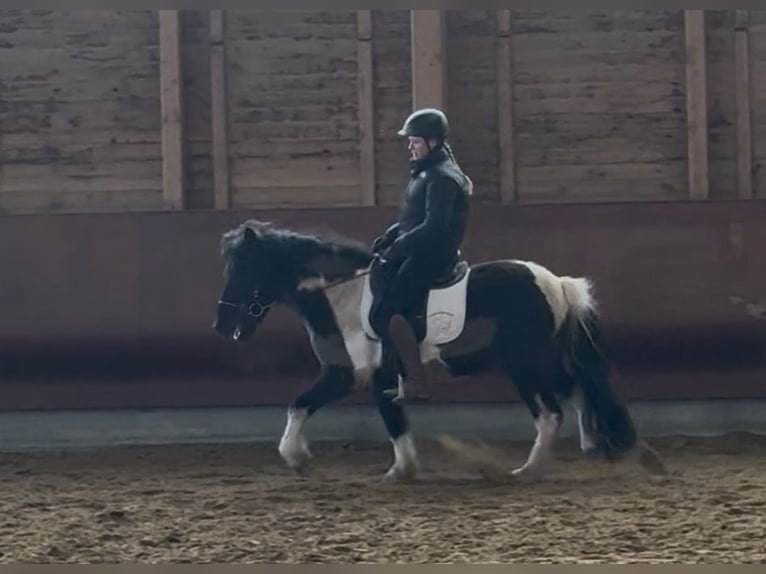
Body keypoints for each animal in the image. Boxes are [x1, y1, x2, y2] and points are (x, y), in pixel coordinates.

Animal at [212, 219, 639, 481]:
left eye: (242, 270)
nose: (222, 326)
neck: (342, 297)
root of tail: (557, 283)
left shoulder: (365, 375)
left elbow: (386, 420)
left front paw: (397, 470)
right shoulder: (348, 374)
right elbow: (303, 405)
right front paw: (300, 457)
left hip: (527, 366)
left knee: (551, 413)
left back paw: (527, 470)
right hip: (543, 362)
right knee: (580, 391)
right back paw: (592, 448)